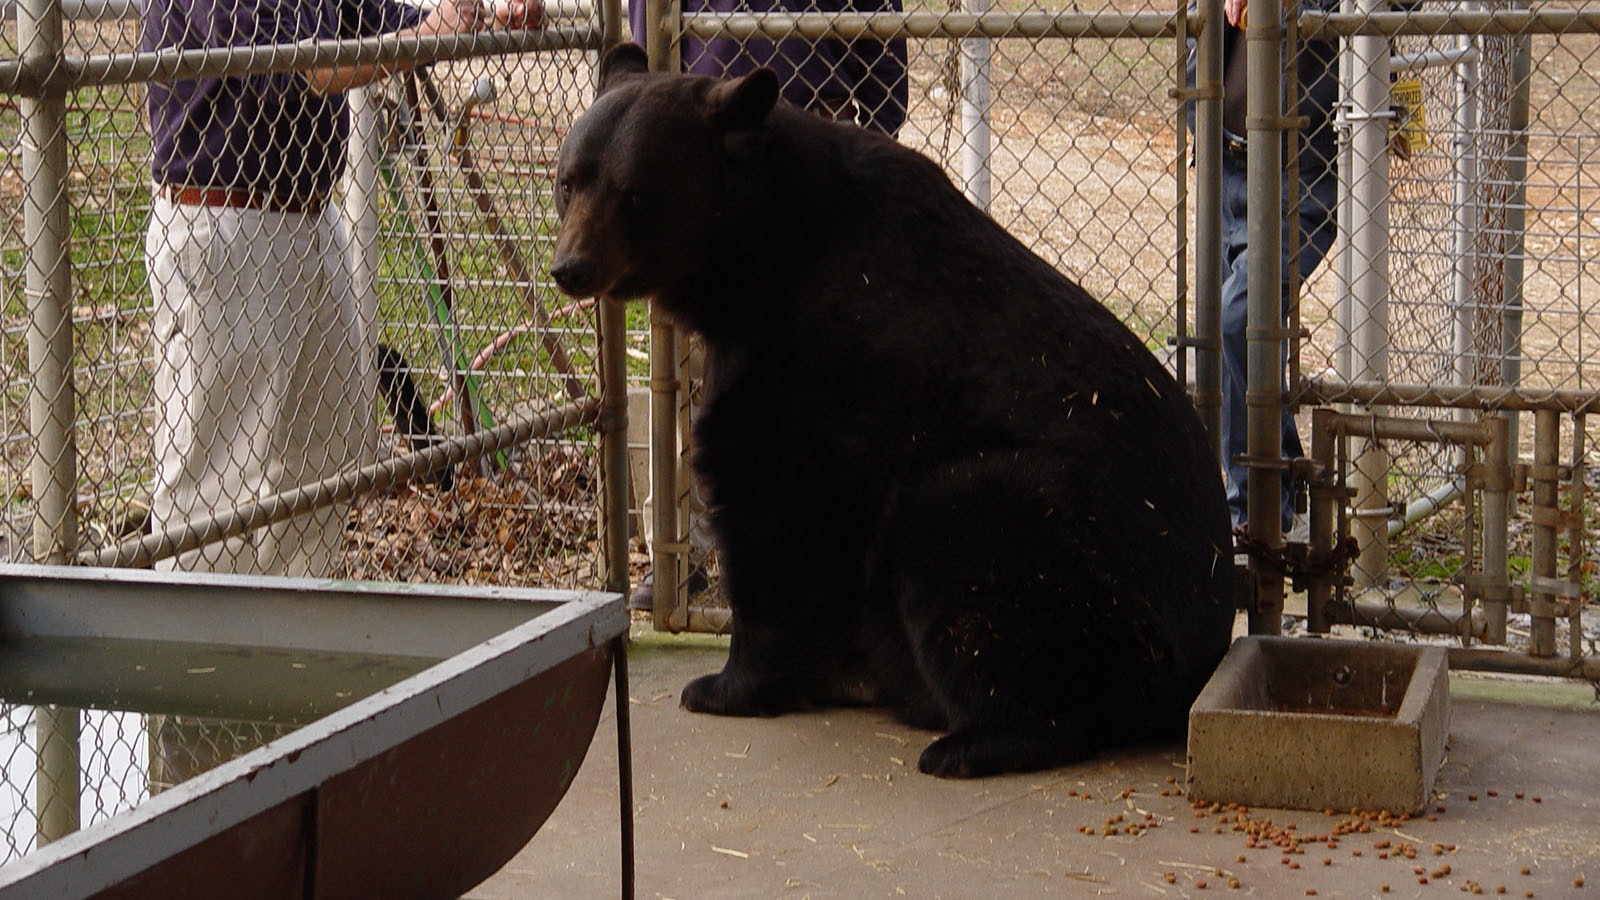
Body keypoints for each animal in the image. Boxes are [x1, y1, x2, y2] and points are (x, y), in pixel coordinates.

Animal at [550, 42, 1235, 775]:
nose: (571, 267)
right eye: (569, 182)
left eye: (634, 192)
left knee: (968, 545)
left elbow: (779, 506)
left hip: (1068, 568)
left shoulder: (825, 358)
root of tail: (1196, 669)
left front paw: (725, 685)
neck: (764, 257)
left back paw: (969, 739)